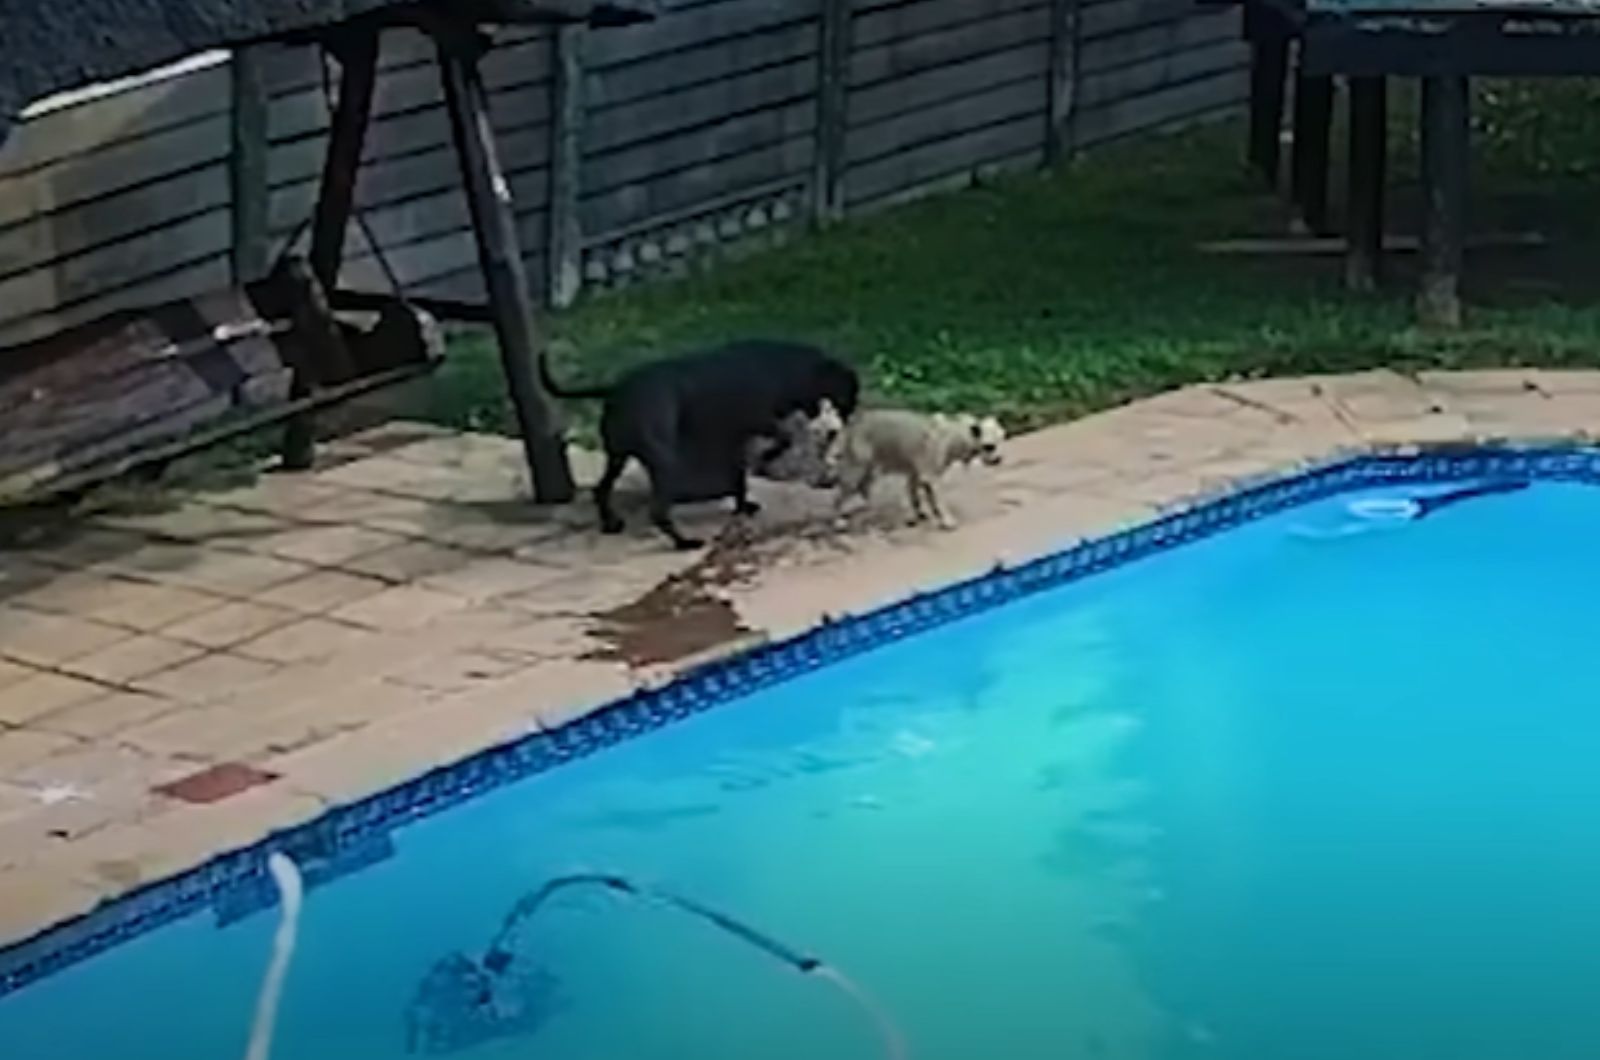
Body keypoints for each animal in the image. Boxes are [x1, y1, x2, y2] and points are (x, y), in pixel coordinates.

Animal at [540, 341, 864, 550]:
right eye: (847, 393)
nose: (846, 421)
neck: (786, 367)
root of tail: (618, 389)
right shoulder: (761, 421)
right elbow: (782, 439)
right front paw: (769, 457)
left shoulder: (734, 439)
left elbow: (738, 480)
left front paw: (743, 505)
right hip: (664, 462)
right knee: (658, 510)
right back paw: (683, 543)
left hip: (617, 454)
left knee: (601, 488)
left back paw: (610, 523)